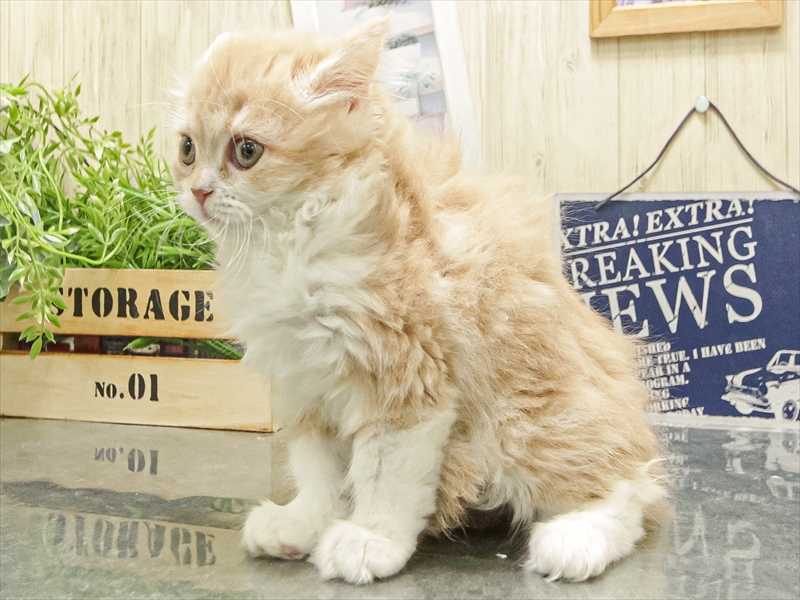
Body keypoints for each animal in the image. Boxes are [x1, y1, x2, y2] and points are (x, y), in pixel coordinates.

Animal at [171, 20, 666, 585]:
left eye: (246, 150)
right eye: (187, 149)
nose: (199, 191)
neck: (286, 243)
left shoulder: (404, 373)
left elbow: (384, 473)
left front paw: (371, 539)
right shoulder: (305, 383)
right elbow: (318, 470)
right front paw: (305, 524)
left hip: (529, 422)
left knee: (631, 485)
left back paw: (575, 538)